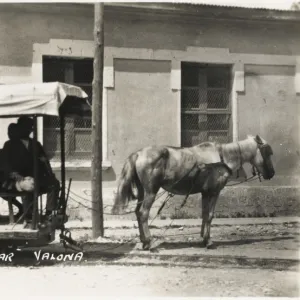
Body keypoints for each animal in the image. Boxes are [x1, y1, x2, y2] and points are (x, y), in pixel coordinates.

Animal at [112, 135, 274, 250]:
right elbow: (210, 215)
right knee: (143, 213)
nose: (272, 173)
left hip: (142, 191)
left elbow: (204, 214)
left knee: (137, 212)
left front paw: (203, 237)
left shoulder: (205, 192)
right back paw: (149, 241)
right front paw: (208, 241)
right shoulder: (214, 192)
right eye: (267, 152)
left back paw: (143, 241)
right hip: (151, 191)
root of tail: (138, 153)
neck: (221, 157)